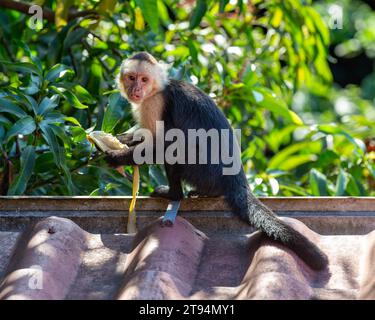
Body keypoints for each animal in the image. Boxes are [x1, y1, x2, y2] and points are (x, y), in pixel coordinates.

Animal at [104, 52, 328, 270]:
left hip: (203, 171)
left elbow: (161, 145)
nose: (136, 89)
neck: (156, 89)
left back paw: (174, 194)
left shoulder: (154, 103)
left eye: (144, 79)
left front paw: (115, 157)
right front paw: (120, 139)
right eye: (131, 77)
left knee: (176, 146)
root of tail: (237, 179)